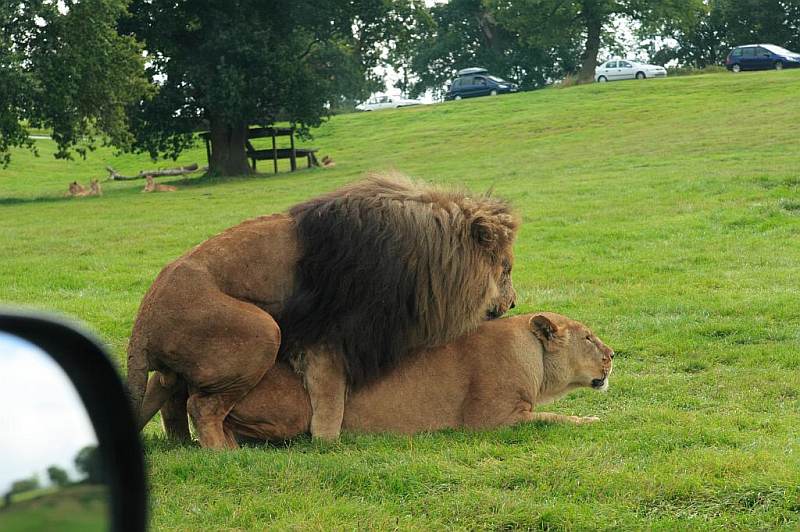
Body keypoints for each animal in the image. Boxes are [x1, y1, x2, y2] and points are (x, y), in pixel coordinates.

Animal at [130, 174, 520, 444]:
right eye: (507, 269)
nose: (515, 302)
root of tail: (143, 320)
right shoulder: (331, 337)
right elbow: (330, 402)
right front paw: (328, 441)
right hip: (262, 331)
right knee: (200, 406)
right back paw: (225, 453)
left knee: (166, 393)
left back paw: (183, 445)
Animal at [139, 310, 612, 438]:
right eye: (589, 337)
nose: (613, 355)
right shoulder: (489, 421)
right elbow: (553, 417)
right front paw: (590, 419)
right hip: (290, 408)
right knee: (208, 410)